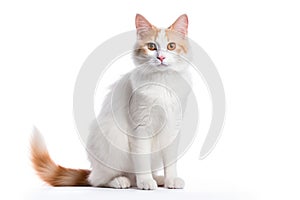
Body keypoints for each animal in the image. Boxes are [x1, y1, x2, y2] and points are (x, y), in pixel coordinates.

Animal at [30, 13, 190, 189]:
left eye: (171, 46)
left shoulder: (173, 128)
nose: (161, 57)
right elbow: (142, 160)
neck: (162, 83)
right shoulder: (140, 128)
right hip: (110, 139)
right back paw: (121, 180)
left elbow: (171, 162)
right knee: (98, 180)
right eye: (151, 46)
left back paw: (158, 179)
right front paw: (146, 181)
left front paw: (171, 180)